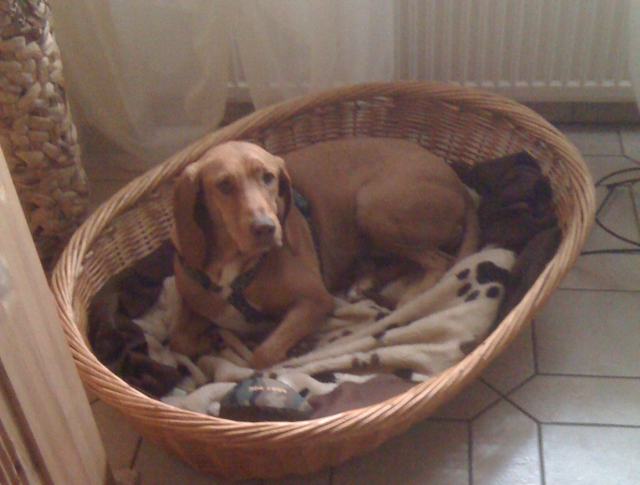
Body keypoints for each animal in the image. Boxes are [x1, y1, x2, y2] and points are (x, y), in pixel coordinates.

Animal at [170, 138, 478, 368]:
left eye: (268, 177)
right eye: (224, 185)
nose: (267, 228)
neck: (233, 267)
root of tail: (460, 186)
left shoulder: (316, 298)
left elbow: (261, 354)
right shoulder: (192, 301)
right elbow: (179, 340)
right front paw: (206, 341)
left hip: (371, 206)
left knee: (439, 261)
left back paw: (408, 300)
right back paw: (365, 282)